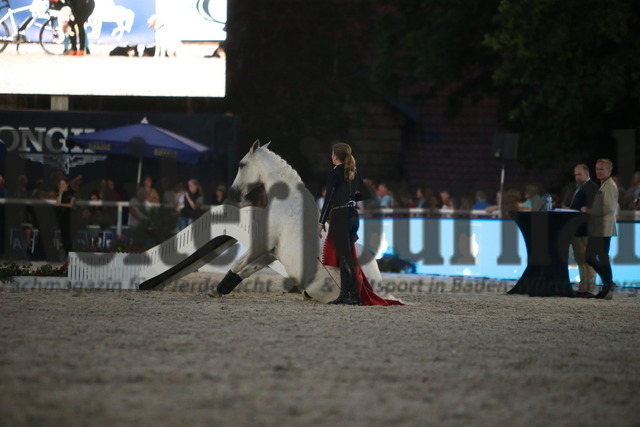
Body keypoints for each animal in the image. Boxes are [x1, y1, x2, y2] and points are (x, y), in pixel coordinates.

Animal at [215, 140, 383, 303]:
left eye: (241, 164)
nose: (233, 193)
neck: (286, 202)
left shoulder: (261, 244)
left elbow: (238, 264)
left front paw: (218, 289)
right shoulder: (272, 252)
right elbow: (248, 270)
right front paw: (223, 288)